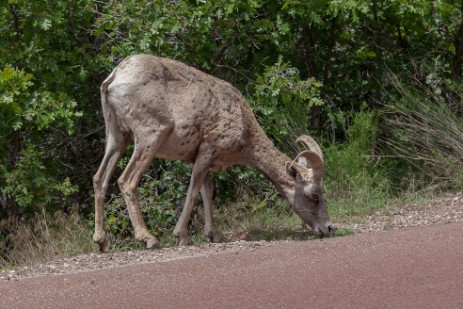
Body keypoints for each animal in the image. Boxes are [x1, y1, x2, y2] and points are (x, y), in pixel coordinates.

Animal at [93, 55, 334, 251]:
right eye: (315, 195)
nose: (329, 228)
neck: (244, 126)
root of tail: (114, 79)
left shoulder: (202, 160)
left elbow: (207, 192)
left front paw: (214, 235)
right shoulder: (207, 152)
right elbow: (193, 191)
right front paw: (181, 237)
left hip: (118, 137)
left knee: (99, 179)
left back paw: (102, 241)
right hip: (149, 137)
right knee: (126, 181)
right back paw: (149, 240)